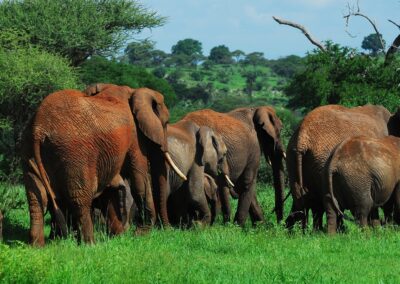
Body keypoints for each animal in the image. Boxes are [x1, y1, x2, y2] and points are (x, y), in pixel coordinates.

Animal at [21, 83, 185, 245]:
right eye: (166, 123)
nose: (169, 231)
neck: (133, 91)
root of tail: (39, 129)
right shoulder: (134, 137)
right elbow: (139, 179)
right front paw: (141, 235)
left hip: (29, 151)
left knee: (36, 198)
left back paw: (37, 246)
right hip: (74, 153)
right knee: (80, 198)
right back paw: (90, 245)